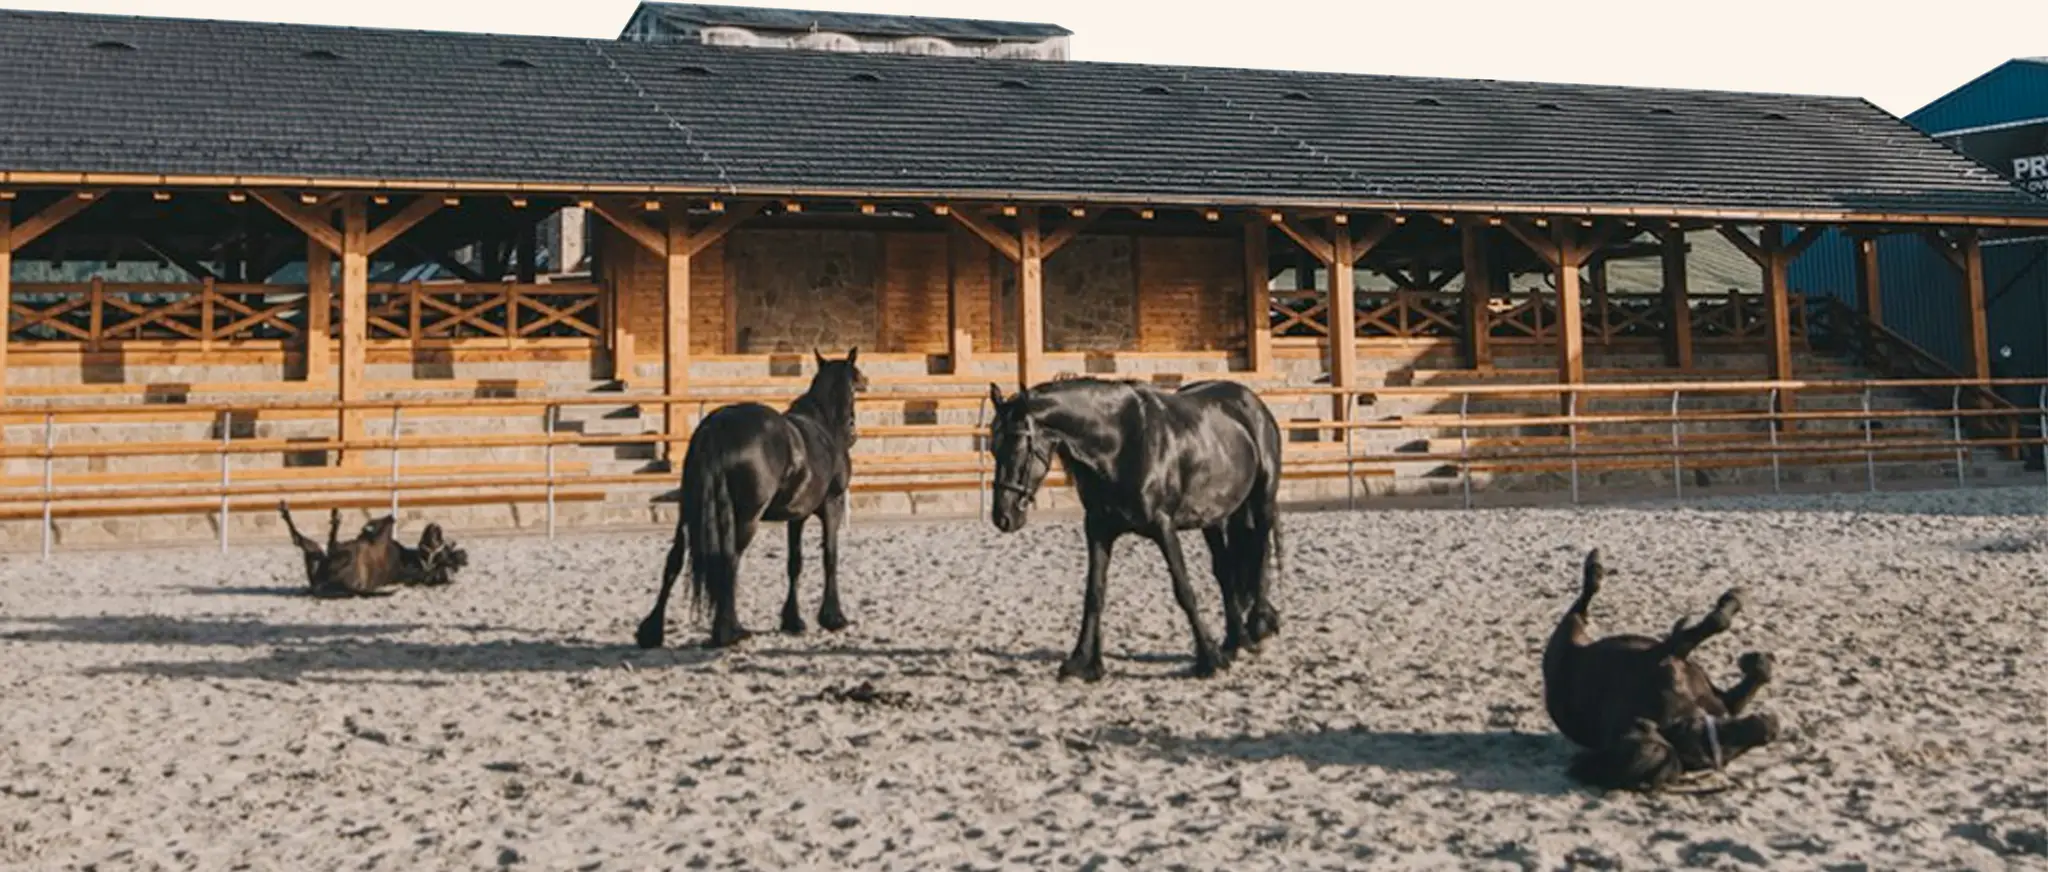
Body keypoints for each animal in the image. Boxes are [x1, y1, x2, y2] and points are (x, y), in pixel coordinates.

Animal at [278, 501, 469, 598]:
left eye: (442, 552)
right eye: (445, 545)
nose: (436, 527)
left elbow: (389, 520)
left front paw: (367, 527)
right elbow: (387, 520)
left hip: (342, 556)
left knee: (329, 544)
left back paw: (335, 523)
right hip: (316, 554)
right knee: (301, 540)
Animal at [636, 348, 869, 649]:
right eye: (855, 381)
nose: (852, 431)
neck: (824, 427)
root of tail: (716, 426)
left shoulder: (797, 515)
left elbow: (795, 562)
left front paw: (792, 620)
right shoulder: (832, 505)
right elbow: (830, 556)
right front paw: (833, 617)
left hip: (689, 513)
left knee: (674, 560)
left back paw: (652, 631)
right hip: (746, 518)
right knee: (730, 560)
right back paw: (728, 630)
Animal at [984, 376, 1284, 681]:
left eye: (1018, 449)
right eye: (993, 449)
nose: (1003, 517)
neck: (1120, 443)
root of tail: (1251, 400)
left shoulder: (1163, 527)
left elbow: (1184, 590)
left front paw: (1208, 660)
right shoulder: (1098, 529)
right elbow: (1094, 593)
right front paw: (1082, 662)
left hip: (1262, 500)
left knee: (1262, 551)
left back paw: (1258, 627)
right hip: (1212, 517)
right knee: (1225, 571)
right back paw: (1235, 642)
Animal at [1542, 549, 1782, 791]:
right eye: (1694, 735)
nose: (1769, 729)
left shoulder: (1718, 697)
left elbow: (1754, 677)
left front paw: (1755, 660)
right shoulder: (1667, 652)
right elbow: (1716, 622)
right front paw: (1734, 599)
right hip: (1568, 628)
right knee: (1583, 602)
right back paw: (1594, 566)